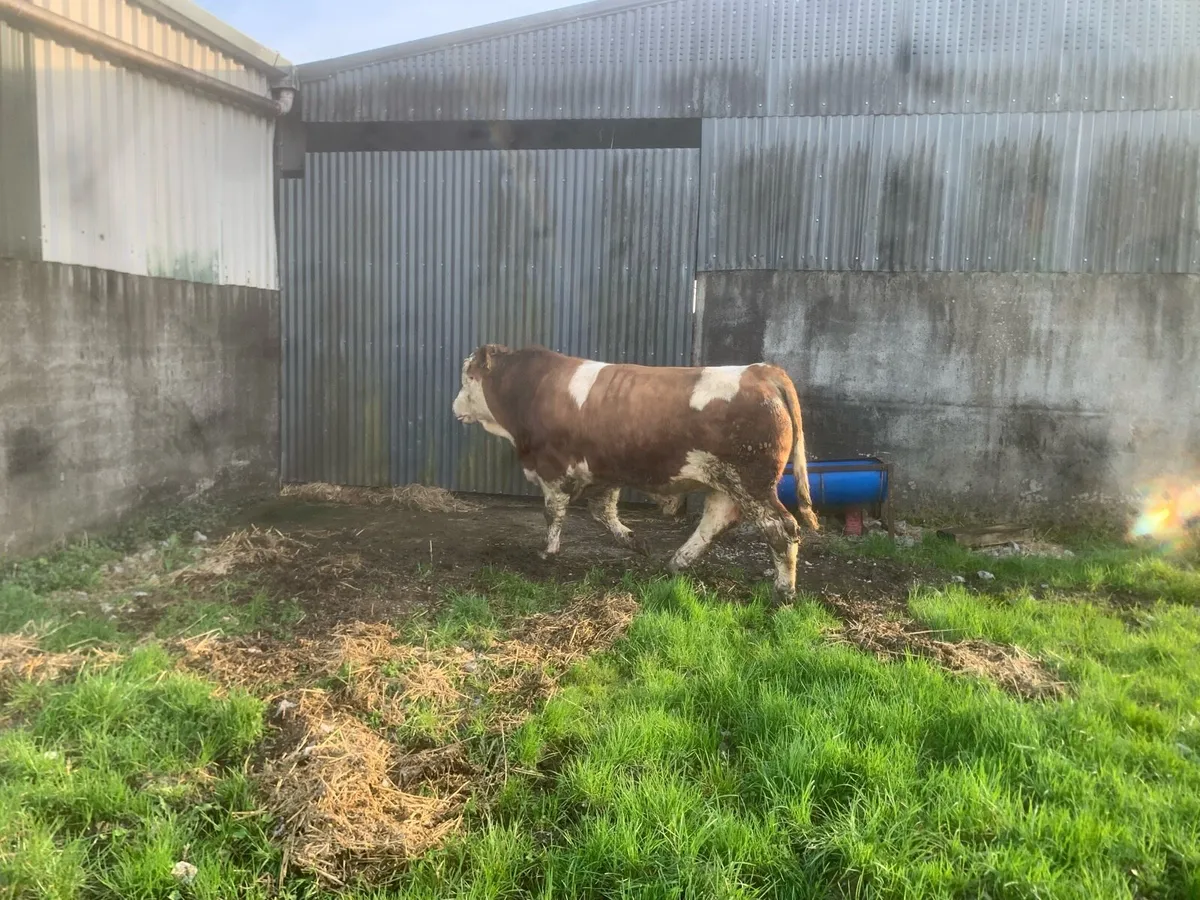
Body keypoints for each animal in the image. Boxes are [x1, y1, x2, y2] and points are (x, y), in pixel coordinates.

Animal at [451, 344, 819, 604]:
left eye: (467, 377)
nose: (454, 408)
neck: (532, 389)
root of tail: (760, 371)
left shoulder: (553, 470)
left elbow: (553, 513)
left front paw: (547, 552)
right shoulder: (605, 470)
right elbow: (602, 511)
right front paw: (635, 541)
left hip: (751, 482)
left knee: (781, 529)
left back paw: (783, 592)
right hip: (728, 481)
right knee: (716, 518)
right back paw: (678, 562)